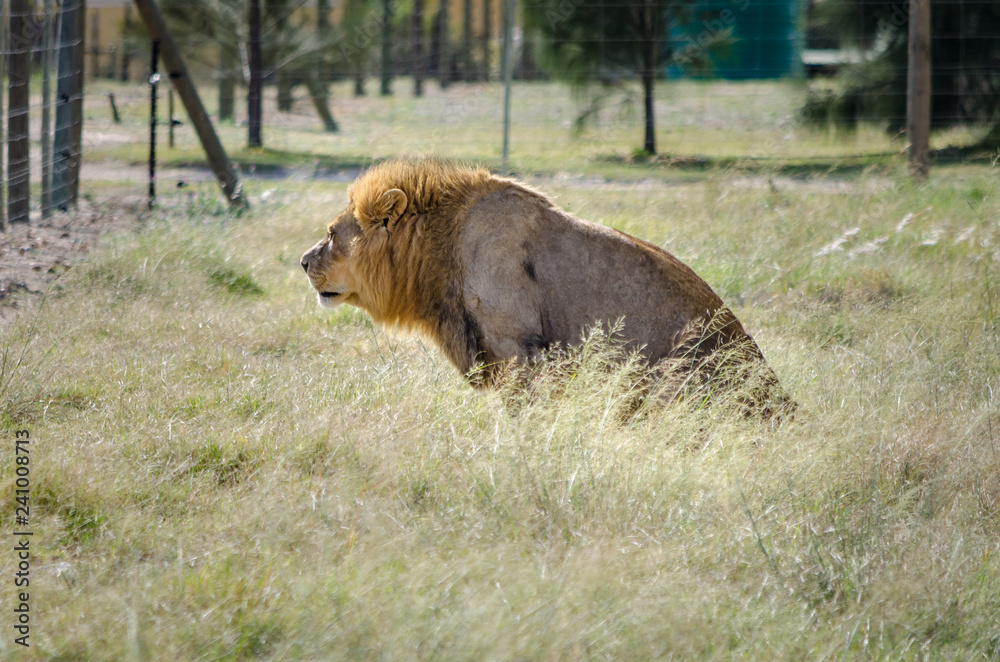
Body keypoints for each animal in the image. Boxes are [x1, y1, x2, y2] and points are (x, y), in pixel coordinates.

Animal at [301, 158, 790, 415]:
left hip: (672, 373)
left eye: (330, 234)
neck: (440, 246)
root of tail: (784, 404)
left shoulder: (519, 347)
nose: (303, 262)